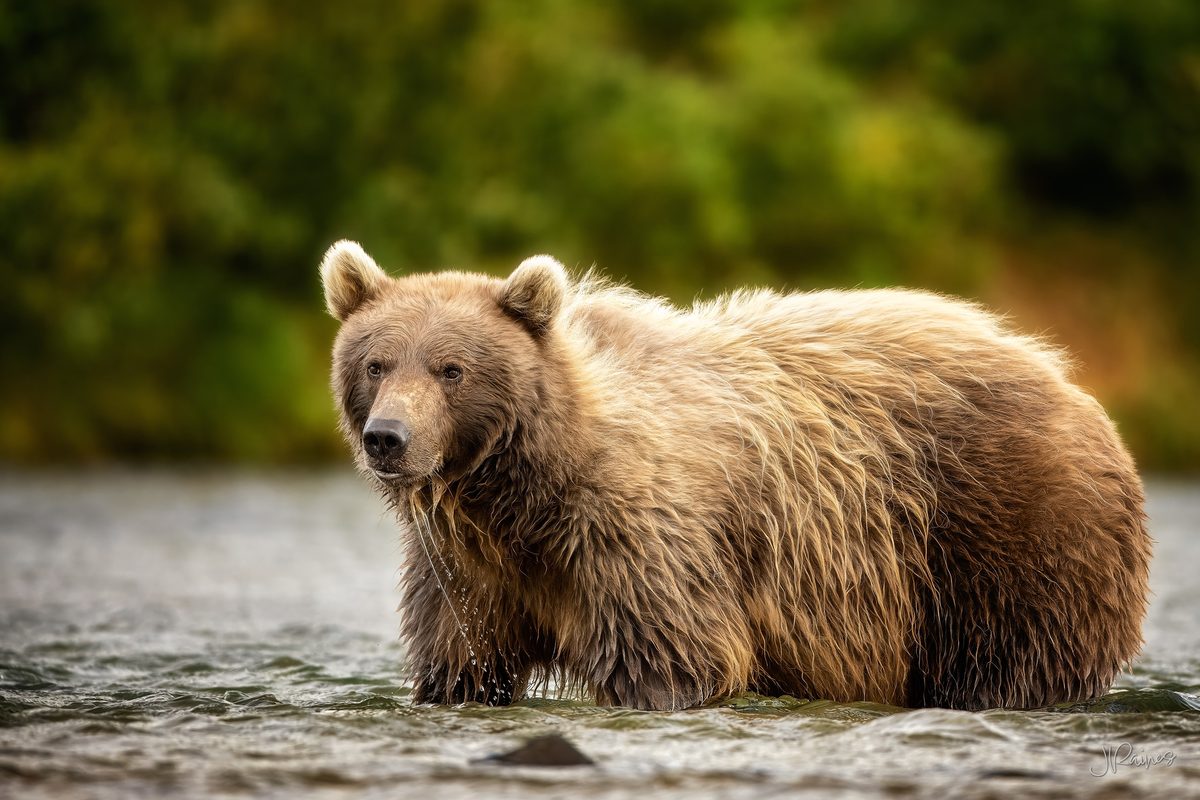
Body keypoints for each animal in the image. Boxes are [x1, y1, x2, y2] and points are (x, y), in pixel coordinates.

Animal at [320, 240, 1151, 711]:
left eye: (451, 369)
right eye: (376, 361)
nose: (389, 438)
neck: (522, 495)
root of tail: (1073, 384)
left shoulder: (640, 540)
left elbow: (672, 657)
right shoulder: (469, 568)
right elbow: (462, 661)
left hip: (1008, 534)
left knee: (1010, 657)